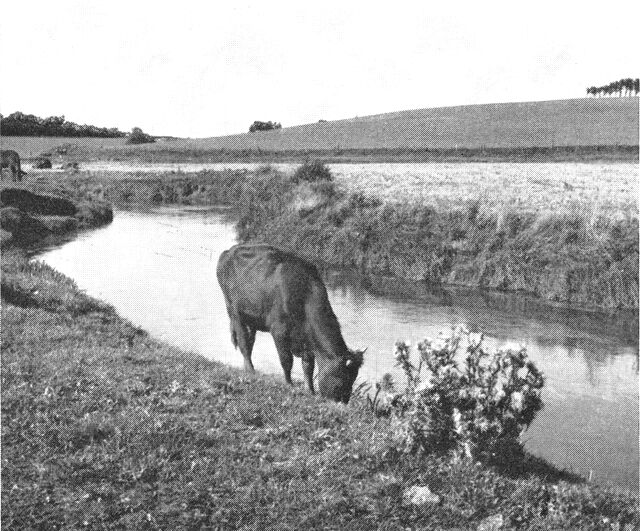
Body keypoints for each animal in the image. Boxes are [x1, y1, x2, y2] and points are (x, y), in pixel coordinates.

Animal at [218, 244, 364, 404]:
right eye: (342, 377)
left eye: (354, 378)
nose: (343, 402)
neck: (305, 295)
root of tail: (229, 251)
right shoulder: (279, 331)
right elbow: (286, 360)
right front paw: (289, 383)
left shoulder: (307, 339)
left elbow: (308, 366)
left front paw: (310, 390)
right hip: (235, 312)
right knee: (244, 343)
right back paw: (251, 370)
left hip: (252, 317)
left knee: (250, 342)